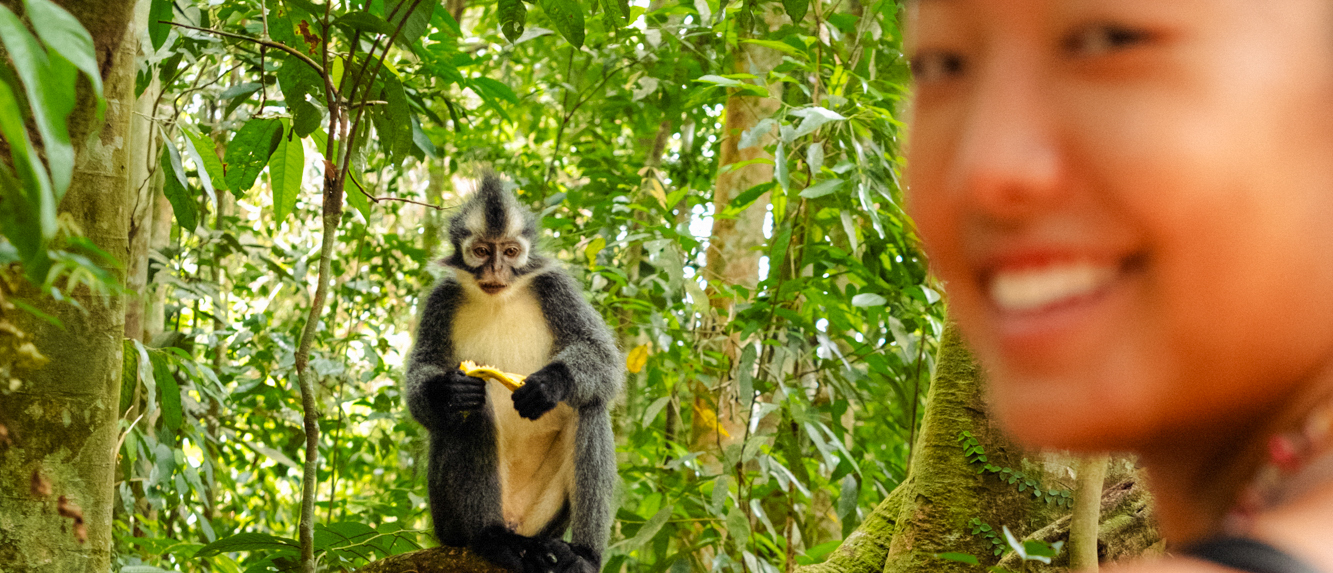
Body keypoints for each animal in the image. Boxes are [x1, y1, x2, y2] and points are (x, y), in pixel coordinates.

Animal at [405, 174, 623, 573]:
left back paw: (582, 554)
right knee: (473, 410)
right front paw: (446, 392)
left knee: (589, 404)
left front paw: (551, 384)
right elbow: (422, 386)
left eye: (509, 252)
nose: (495, 271)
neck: (498, 299)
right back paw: (492, 539)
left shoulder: (555, 286)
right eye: (480, 252)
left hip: (544, 519)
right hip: (448, 523)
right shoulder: (441, 300)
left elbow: (604, 362)